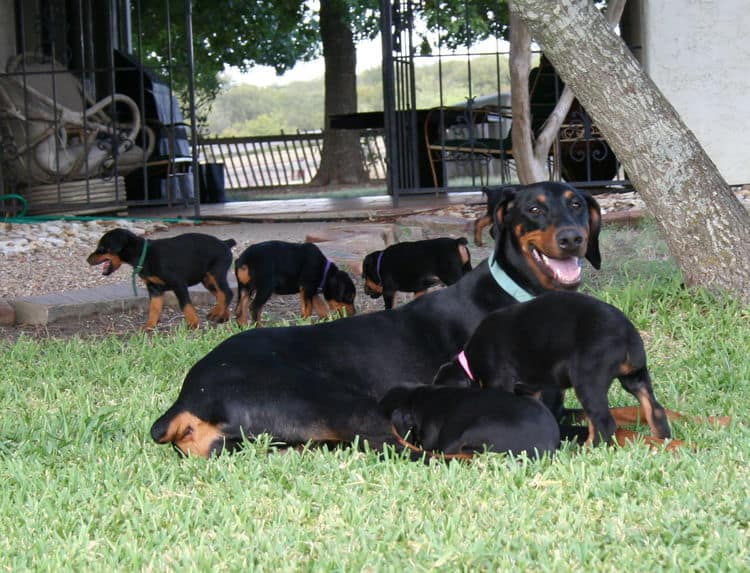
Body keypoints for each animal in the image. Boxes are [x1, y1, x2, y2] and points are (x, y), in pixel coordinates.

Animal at [86, 226, 236, 328]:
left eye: (102, 248)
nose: (87, 260)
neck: (144, 255)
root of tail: (225, 243)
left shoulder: (179, 284)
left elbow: (186, 305)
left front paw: (193, 323)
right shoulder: (154, 289)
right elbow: (154, 308)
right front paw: (149, 326)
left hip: (215, 274)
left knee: (226, 293)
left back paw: (217, 314)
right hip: (207, 279)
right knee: (221, 295)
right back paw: (222, 316)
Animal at [434, 290, 676, 446]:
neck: (469, 361)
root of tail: (627, 334)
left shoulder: (498, 381)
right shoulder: (531, 389)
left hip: (587, 379)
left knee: (604, 423)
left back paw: (589, 450)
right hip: (635, 377)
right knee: (655, 409)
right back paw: (661, 439)